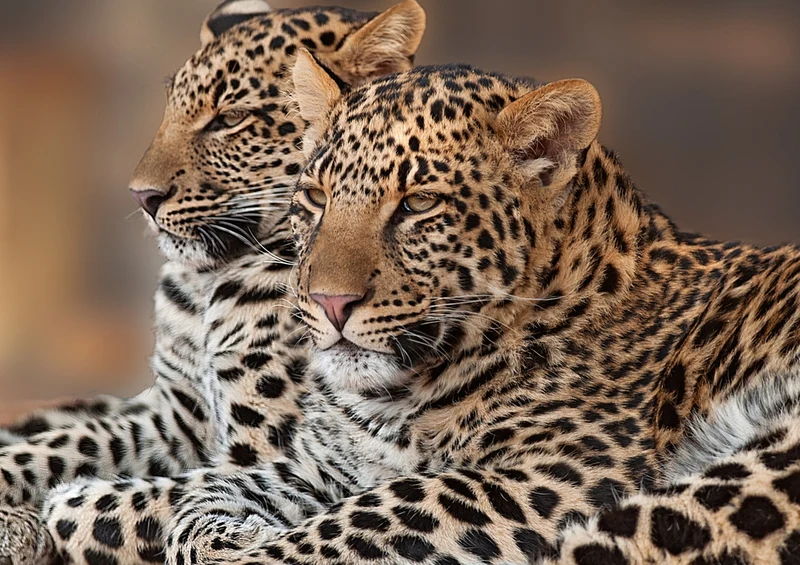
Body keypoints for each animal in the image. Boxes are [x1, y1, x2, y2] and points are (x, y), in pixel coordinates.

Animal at [0, 1, 426, 563]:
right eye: (170, 111)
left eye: (231, 119)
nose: (141, 197)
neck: (206, 289)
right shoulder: (172, 421)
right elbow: (66, 444)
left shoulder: (267, 450)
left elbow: (123, 502)